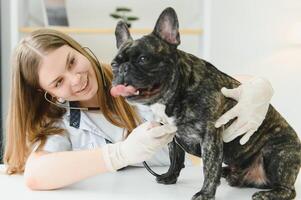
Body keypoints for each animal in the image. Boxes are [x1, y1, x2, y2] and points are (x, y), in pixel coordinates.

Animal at [109, 7, 300, 199]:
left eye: (143, 59)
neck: (177, 92)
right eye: (113, 64)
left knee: (288, 189)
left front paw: (205, 193)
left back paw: (269, 193)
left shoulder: (210, 136)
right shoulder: (171, 137)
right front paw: (170, 176)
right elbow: (175, 159)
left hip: (277, 154)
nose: (123, 69)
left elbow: (209, 167)